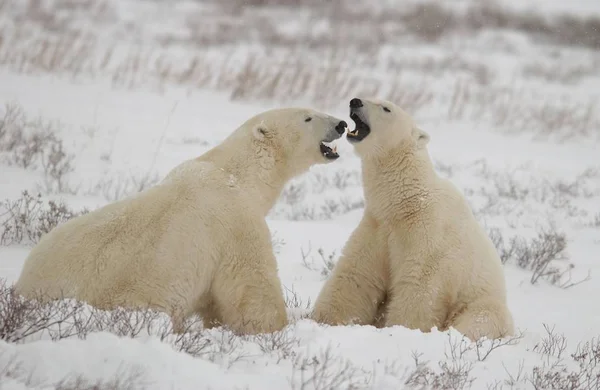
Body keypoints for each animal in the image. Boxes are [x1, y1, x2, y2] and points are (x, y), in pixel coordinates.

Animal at [15, 106, 346, 336]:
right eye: (307, 117)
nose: (341, 124)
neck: (235, 173)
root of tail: (23, 289)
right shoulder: (236, 222)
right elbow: (251, 285)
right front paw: (278, 327)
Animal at [312, 97, 512, 342]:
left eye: (386, 108)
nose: (355, 101)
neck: (405, 203)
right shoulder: (377, 226)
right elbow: (357, 273)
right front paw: (324, 318)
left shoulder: (428, 233)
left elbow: (419, 286)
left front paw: (400, 330)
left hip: (484, 304)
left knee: (478, 320)